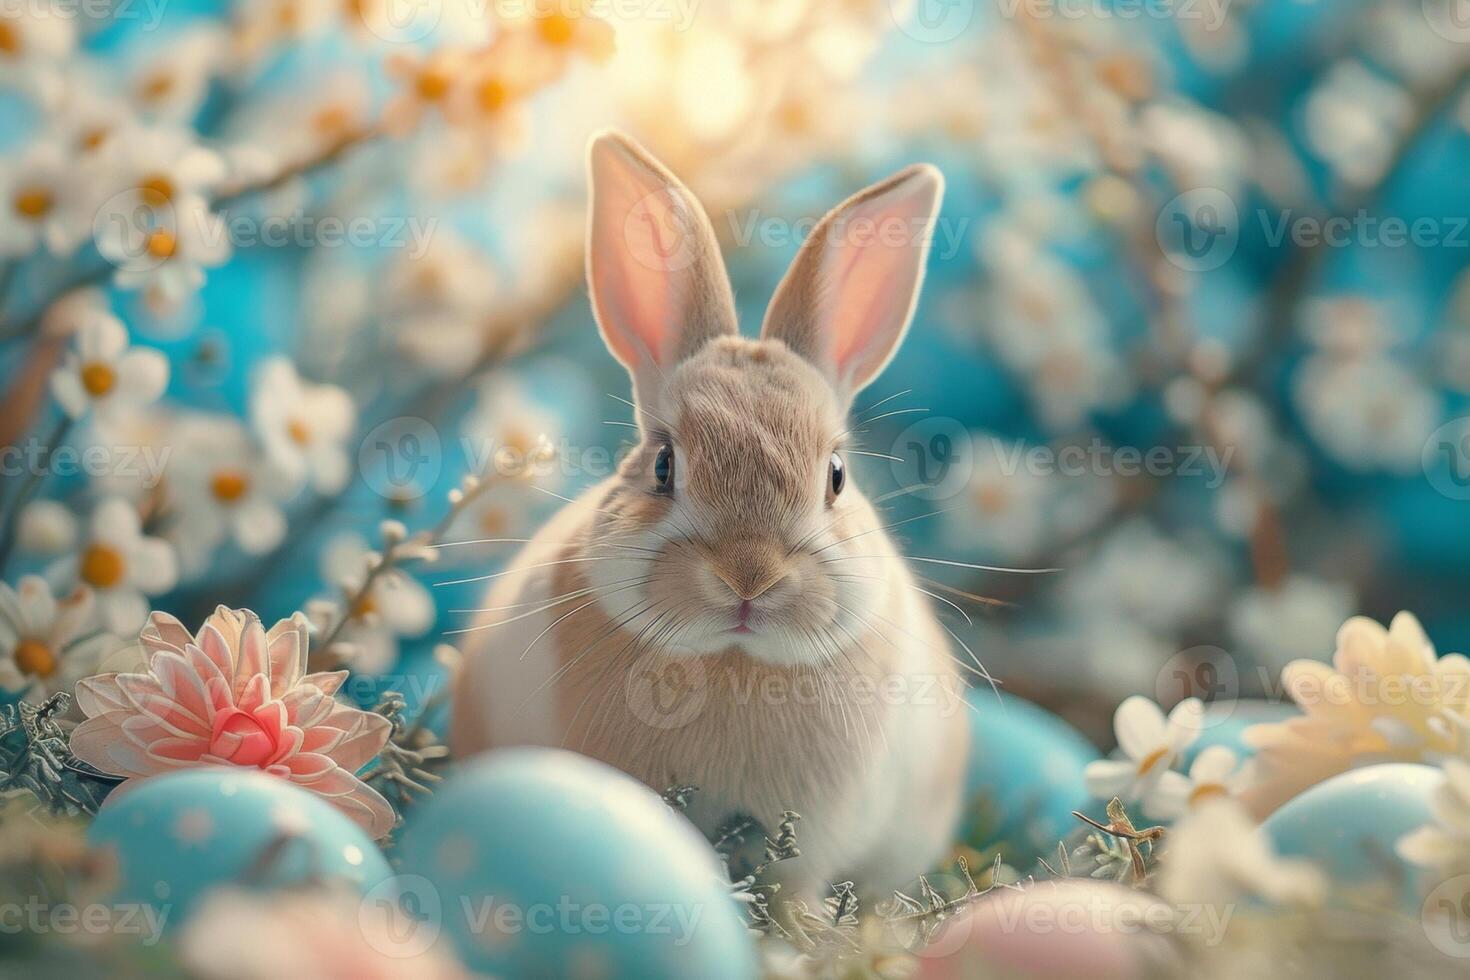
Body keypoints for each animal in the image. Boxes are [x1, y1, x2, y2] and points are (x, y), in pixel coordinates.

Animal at [452, 132, 970, 905]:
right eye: (664, 465)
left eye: (837, 476)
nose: (748, 577)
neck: (732, 657)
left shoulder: (815, 841)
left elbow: (796, 886)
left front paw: (802, 928)